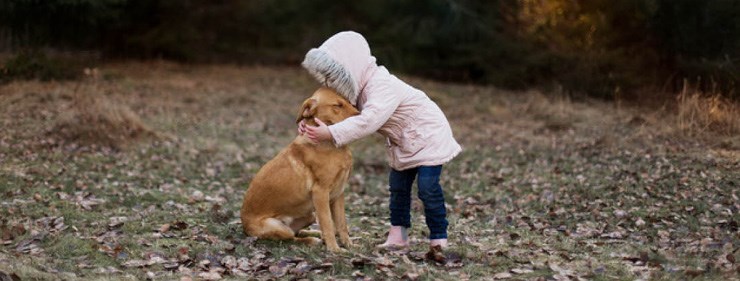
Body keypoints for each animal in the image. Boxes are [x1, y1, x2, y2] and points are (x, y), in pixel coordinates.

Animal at [241, 86, 360, 250]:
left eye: (349, 102)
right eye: (337, 105)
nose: (360, 115)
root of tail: (244, 226)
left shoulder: (338, 193)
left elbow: (341, 224)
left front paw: (348, 244)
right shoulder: (320, 193)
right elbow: (328, 223)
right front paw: (334, 249)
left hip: (310, 215)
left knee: (298, 231)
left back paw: (316, 234)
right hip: (277, 226)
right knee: (291, 237)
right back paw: (312, 240)